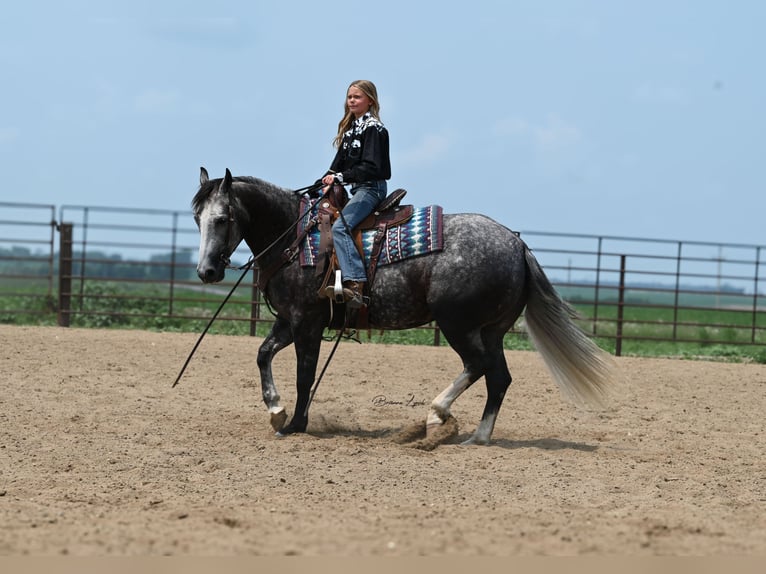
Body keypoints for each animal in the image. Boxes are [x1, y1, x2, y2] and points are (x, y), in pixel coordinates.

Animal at [195, 169, 616, 448]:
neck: (296, 238)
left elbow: (305, 375)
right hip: (491, 329)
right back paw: (477, 437)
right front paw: (276, 410)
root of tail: (516, 243)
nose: (206, 271)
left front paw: (296, 424)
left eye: (222, 218)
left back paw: (435, 415)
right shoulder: (288, 320)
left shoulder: (306, 323)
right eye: (198, 218)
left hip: (457, 324)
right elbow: (262, 354)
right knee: (498, 378)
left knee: (477, 366)